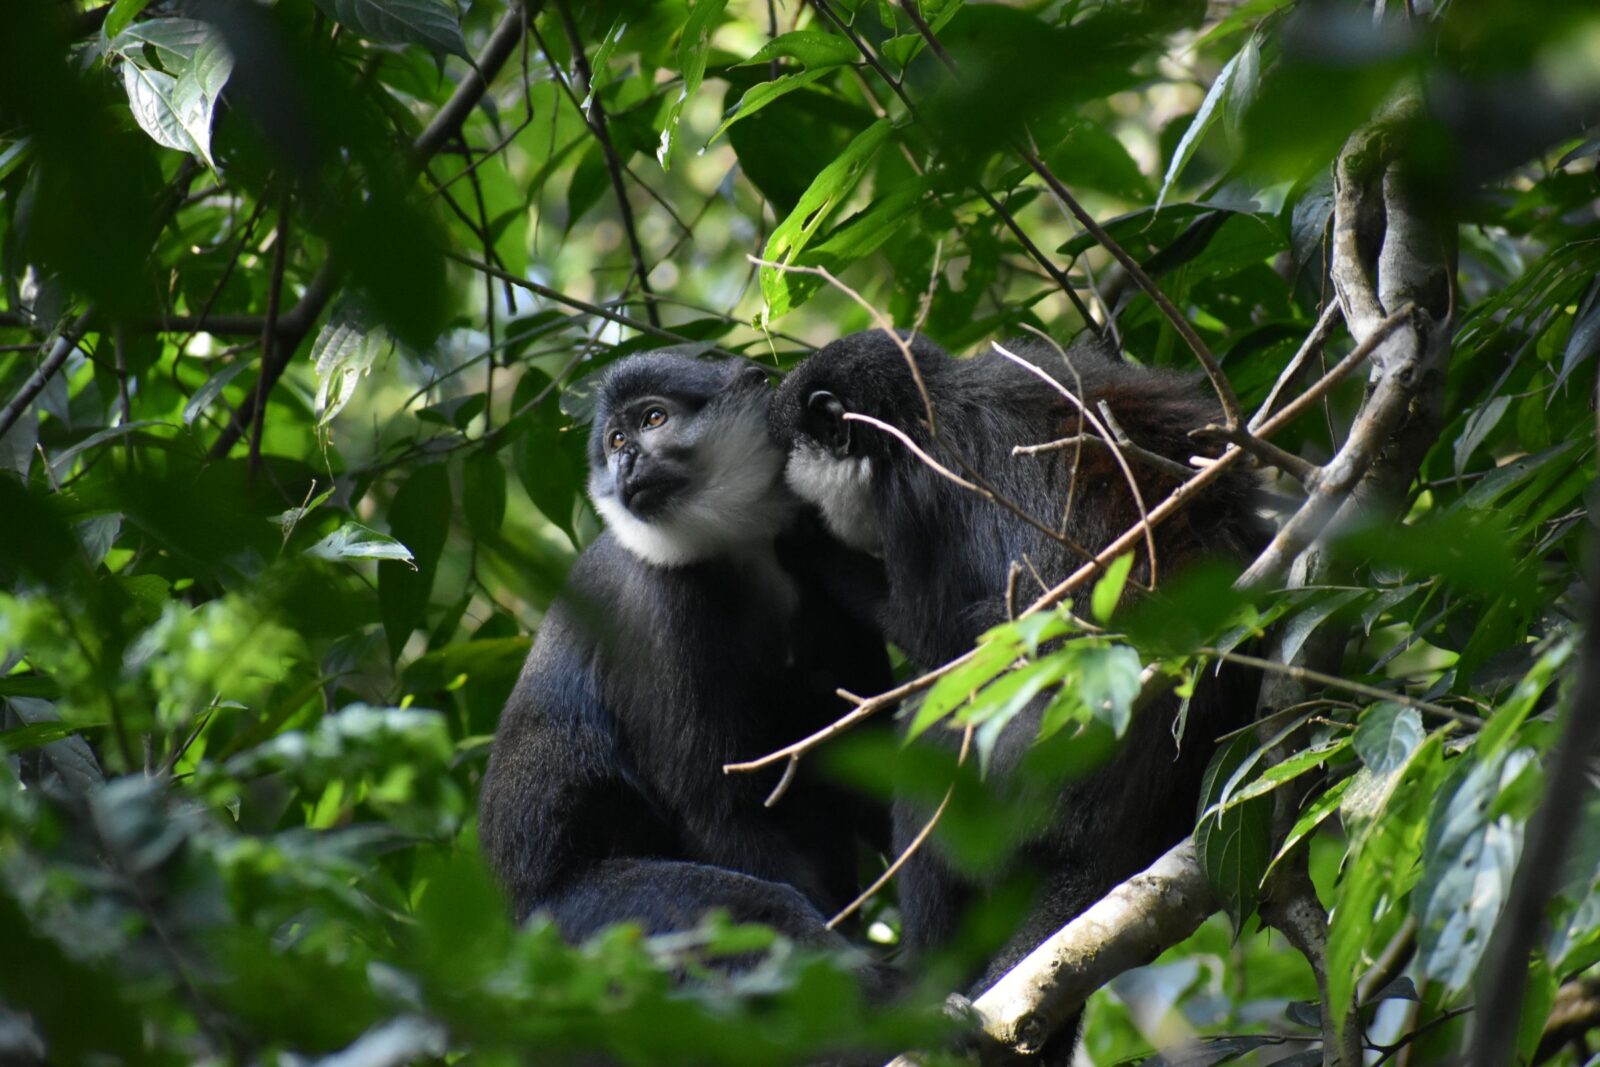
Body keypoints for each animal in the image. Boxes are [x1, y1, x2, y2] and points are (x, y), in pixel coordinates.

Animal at [477, 352, 894, 964]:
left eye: (653, 419)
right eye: (616, 439)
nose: (626, 459)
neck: (740, 545)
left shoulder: (814, 549)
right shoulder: (660, 612)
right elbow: (717, 811)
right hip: (581, 927)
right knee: (753, 909)